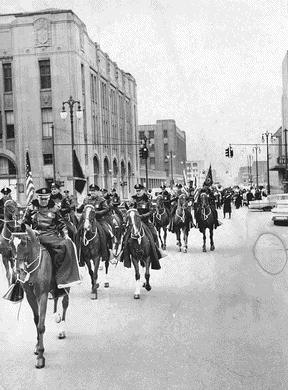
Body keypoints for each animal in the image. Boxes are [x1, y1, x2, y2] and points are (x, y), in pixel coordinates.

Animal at [9, 225, 70, 368]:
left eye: (24, 243)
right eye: (10, 244)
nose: (18, 270)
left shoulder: (42, 296)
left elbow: (41, 326)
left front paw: (41, 357)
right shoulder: (31, 296)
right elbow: (37, 321)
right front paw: (37, 347)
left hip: (66, 286)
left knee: (65, 303)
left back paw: (62, 329)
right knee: (56, 299)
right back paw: (57, 317)